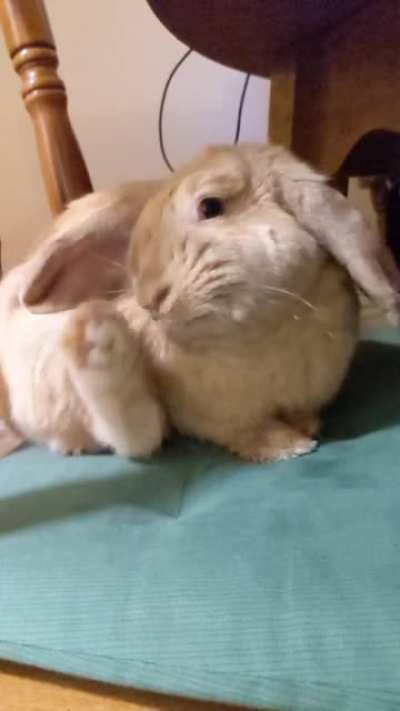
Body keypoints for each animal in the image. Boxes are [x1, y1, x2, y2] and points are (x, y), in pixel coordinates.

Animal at [1, 143, 398, 462]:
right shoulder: (211, 417)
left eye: (210, 206)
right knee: (132, 433)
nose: (150, 300)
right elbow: (239, 432)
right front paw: (287, 447)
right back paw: (96, 337)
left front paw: (306, 428)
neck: (261, 334)